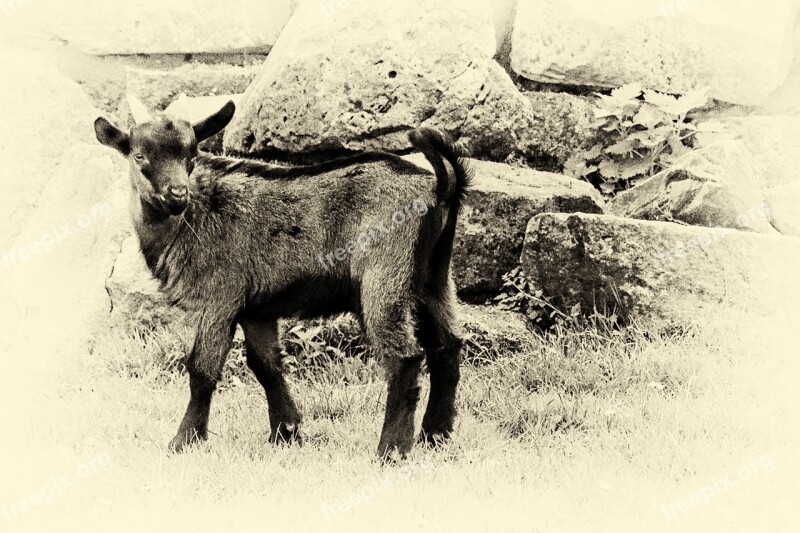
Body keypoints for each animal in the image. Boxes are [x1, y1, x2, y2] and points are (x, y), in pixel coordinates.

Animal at [94, 98, 468, 458]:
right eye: (139, 155)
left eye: (191, 154)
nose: (176, 194)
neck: (194, 217)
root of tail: (439, 187)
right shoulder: (256, 309)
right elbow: (266, 365)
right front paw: (286, 433)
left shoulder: (220, 297)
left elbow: (202, 368)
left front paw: (183, 440)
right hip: (432, 277)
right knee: (447, 347)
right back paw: (435, 437)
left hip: (385, 275)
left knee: (404, 357)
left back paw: (391, 450)